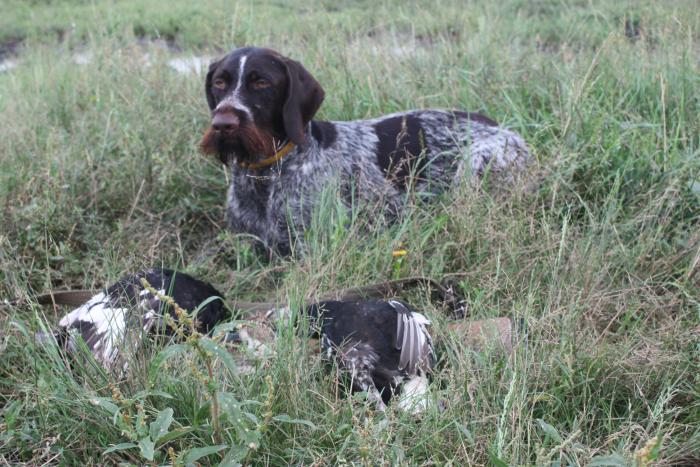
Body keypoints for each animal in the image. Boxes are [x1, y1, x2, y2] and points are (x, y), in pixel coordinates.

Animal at [200, 46, 528, 256]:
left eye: (261, 83)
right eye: (219, 82)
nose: (223, 123)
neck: (264, 175)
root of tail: (509, 131)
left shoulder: (305, 250)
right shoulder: (247, 247)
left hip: (475, 165)